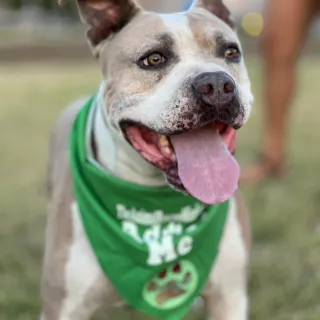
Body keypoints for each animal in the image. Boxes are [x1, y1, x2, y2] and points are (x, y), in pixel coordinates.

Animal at [41, 0, 254, 320]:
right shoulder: (63, 307)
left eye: (231, 53)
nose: (217, 84)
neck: (154, 199)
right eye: (153, 59)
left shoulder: (230, 297)